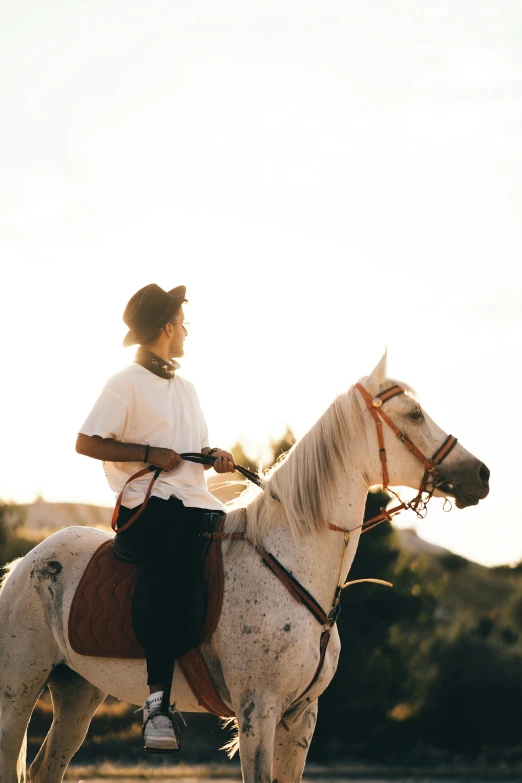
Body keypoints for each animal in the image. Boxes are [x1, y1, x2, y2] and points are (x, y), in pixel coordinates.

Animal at [0, 356, 488, 783]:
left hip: (78, 690)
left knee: (46, 768)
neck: (290, 562)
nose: (481, 475)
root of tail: (25, 564)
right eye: (414, 413)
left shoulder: (301, 716)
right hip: (18, 690)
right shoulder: (258, 711)